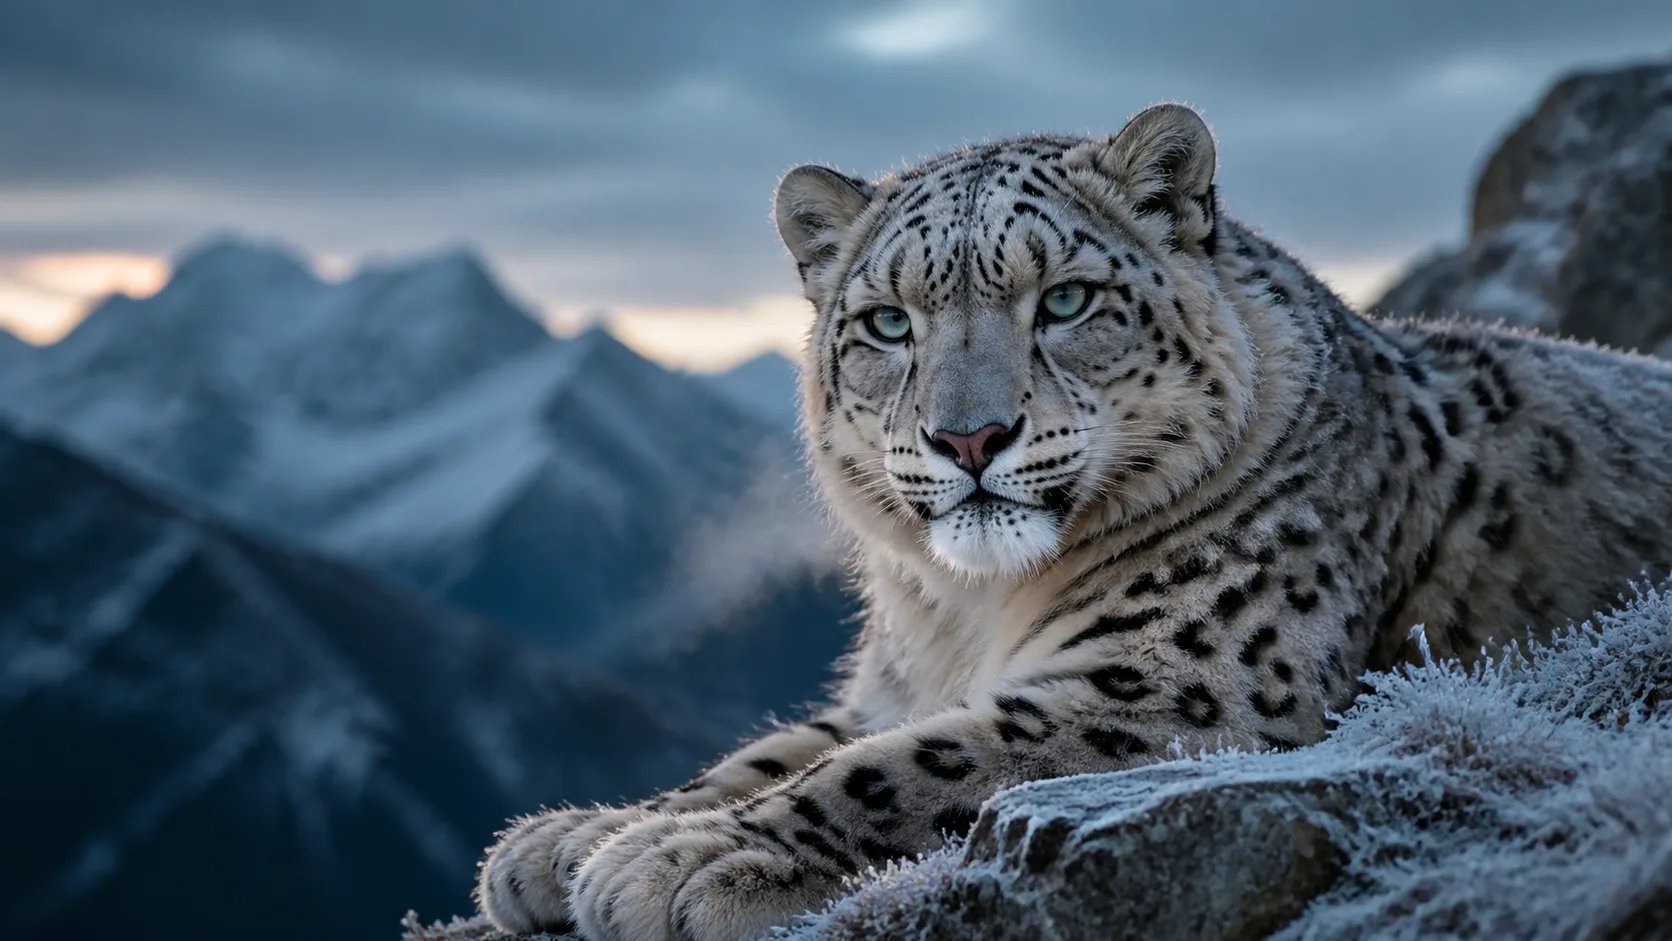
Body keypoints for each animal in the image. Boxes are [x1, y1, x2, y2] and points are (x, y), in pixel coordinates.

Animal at [475, 103, 1672, 941]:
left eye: (1064, 300)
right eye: (887, 322)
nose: (969, 438)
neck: (965, 611)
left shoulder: (1184, 686)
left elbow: (909, 765)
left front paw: (677, 860)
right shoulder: (891, 686)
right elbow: (780, 746)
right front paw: (567, 836)